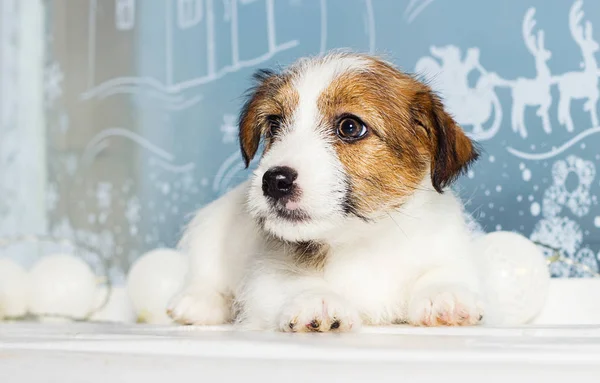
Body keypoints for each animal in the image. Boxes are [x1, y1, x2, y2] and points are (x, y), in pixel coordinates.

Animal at [168, 51, 488, 332]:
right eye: (274, 124)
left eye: (350, 127)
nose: (274, 181)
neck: (361, 240)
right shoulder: (267, 274)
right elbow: (293, 282)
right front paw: (316, 301)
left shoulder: (448, 248)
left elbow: (444, 270)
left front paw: (445, 296)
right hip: (210, 228)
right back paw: (198, 302)